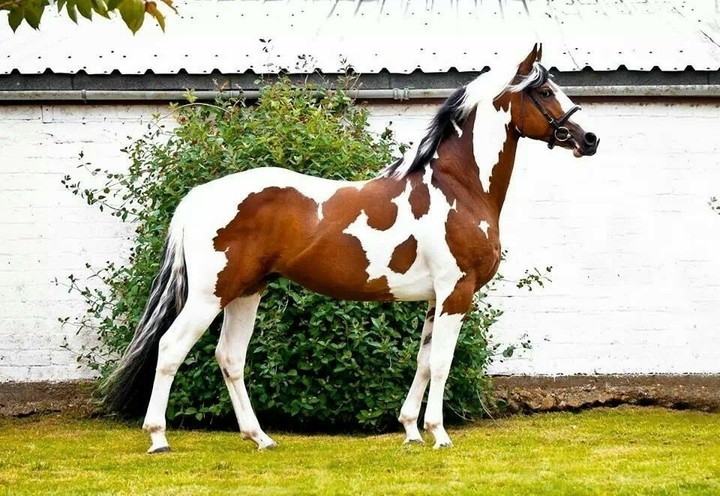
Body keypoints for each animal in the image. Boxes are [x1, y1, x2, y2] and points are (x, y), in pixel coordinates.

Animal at [103, 44, 599, 453]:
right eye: (546, 91)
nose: (589, 139)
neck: (459, 187)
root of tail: (200, 195)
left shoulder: (435, 300)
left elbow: (422, 363)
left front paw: (411, 431)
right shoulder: (456, 294)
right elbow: (442, 364)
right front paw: (438, 434)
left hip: (246, 291)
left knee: (230, 358)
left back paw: (260, 437)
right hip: (210, 296)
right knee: (171, 349)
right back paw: (159, 438)